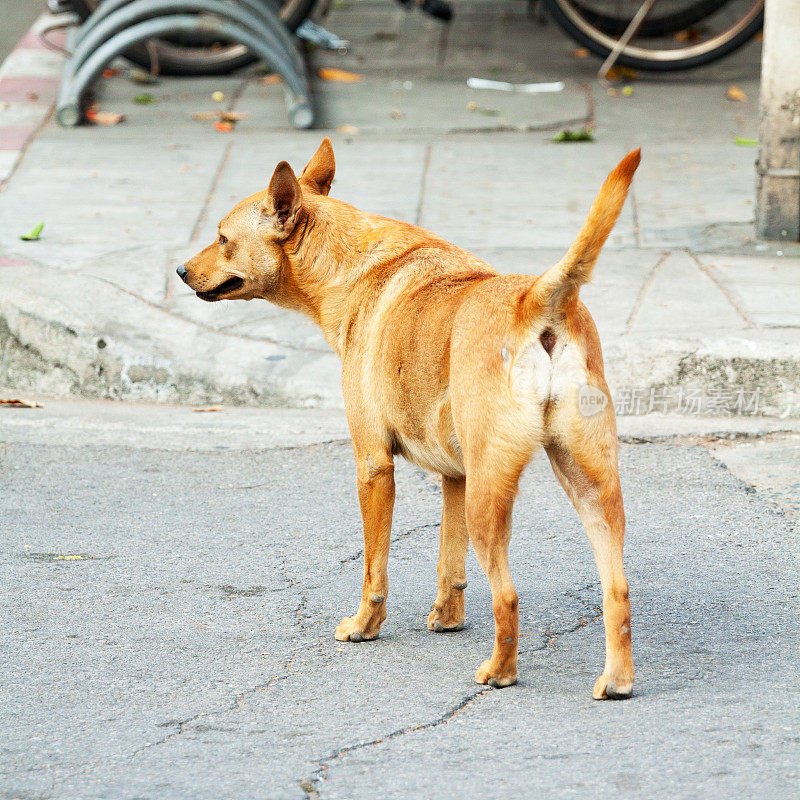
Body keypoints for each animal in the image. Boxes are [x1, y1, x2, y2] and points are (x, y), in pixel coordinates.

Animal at [178, 141, 640, 696]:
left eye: (223, 238)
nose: (180, 271)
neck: (351, 266)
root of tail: (537, 301)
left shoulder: (374, 466)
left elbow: (374, 570)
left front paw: (364, 626)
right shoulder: (454, 477)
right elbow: (449, 562)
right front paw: (447, 617)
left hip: (491, 498)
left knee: (507, 598)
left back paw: (500, 671)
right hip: (590, 489)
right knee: (618, 590)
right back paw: (617, 678)